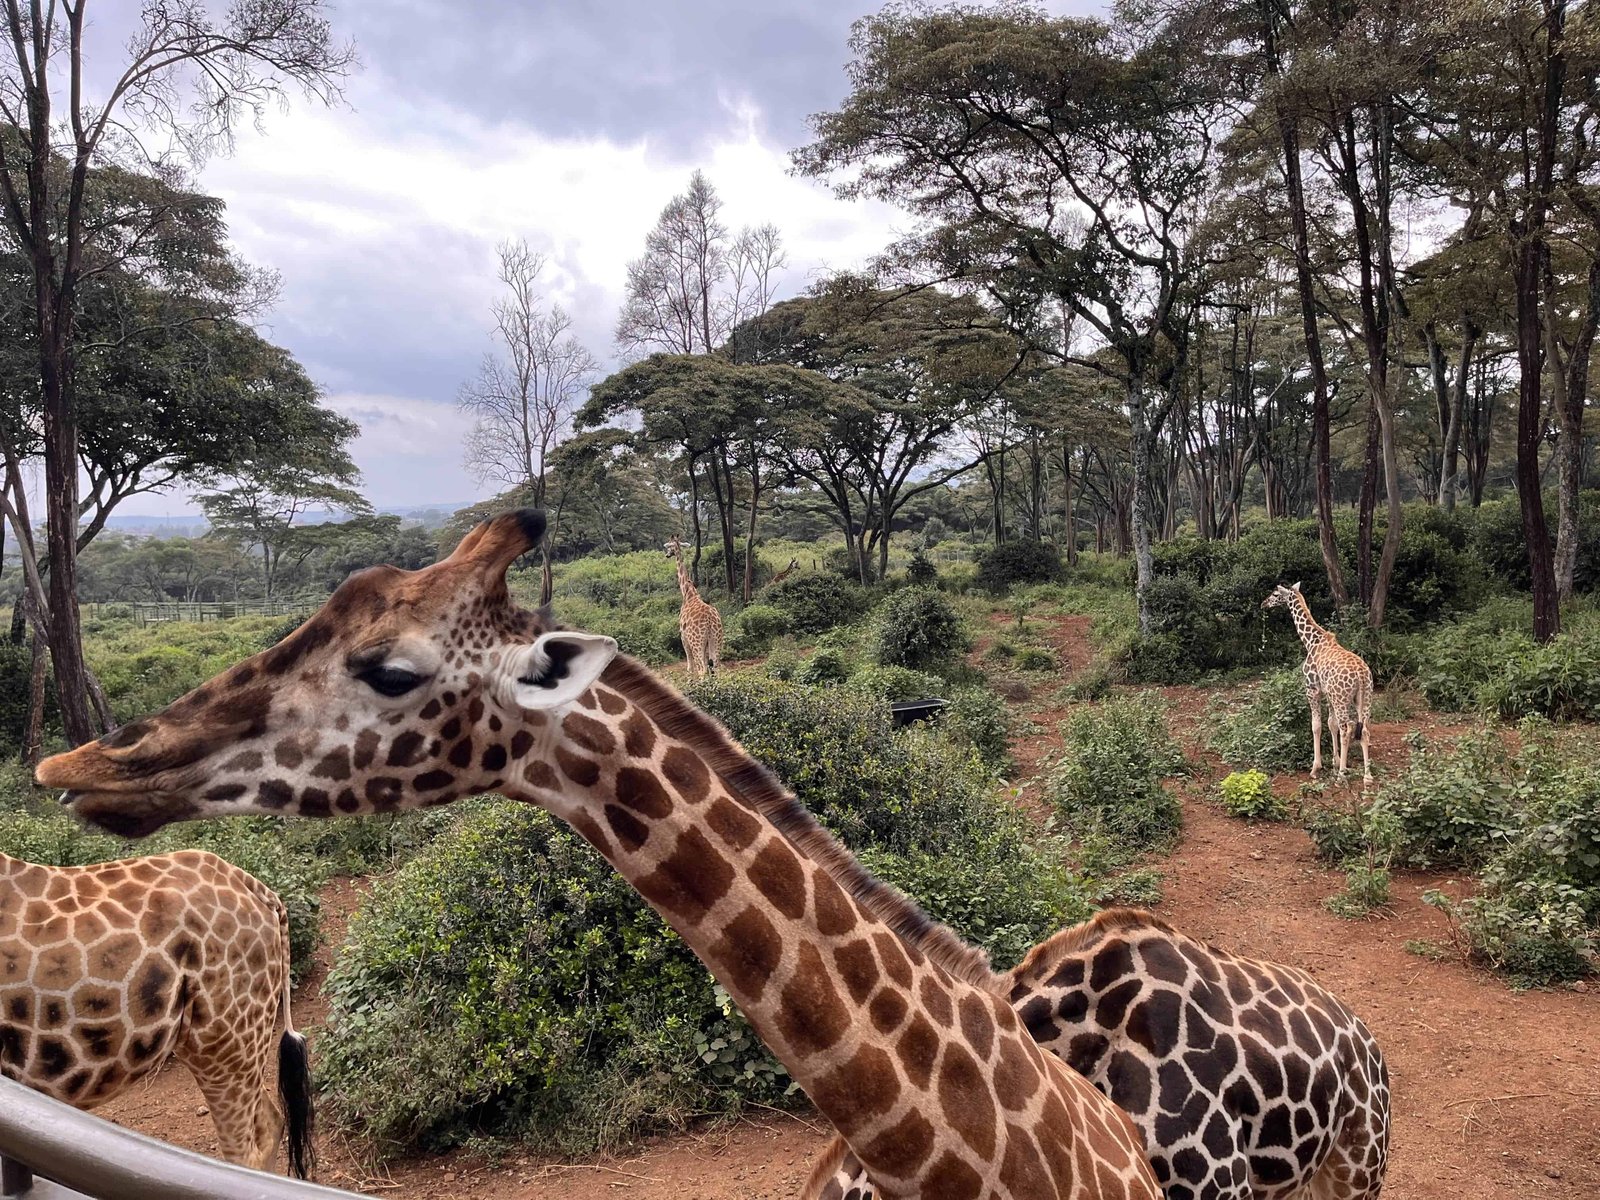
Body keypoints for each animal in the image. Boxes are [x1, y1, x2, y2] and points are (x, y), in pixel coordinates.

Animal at [666, 535, 724, 679]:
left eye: (669, 546)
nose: (667, 555)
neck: (688, 593)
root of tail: (710, 621)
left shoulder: (683, 637)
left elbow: (689, 667)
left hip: (696, 641)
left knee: (701, 669)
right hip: (716, 639)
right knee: (715, 667)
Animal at [1261, 584, 1373, 784]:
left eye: (1275, 594)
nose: (1263, 604)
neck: (1311, 641)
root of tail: (1361, 674)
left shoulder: (1312, 689)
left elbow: (1316, 726)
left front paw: (1316, 768)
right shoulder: (1327, 693)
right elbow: (1331, 723)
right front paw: (1335, 761)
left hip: (1342, 699)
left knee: (1347, 729)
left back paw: (1341, 775)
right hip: (1364, 698)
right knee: (1364, 729)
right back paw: (1367, 776)